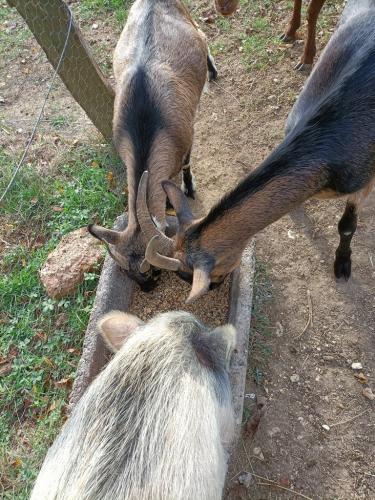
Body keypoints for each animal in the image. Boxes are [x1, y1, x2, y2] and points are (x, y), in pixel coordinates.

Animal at [88, 0, 217, 290]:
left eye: (153, 272)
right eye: (127, 273)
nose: (147, 290)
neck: (145, 123)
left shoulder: (187, 136)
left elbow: (187, 165)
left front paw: (189, 188)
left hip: (191, 23)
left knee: (204, 36)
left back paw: (212, 70)